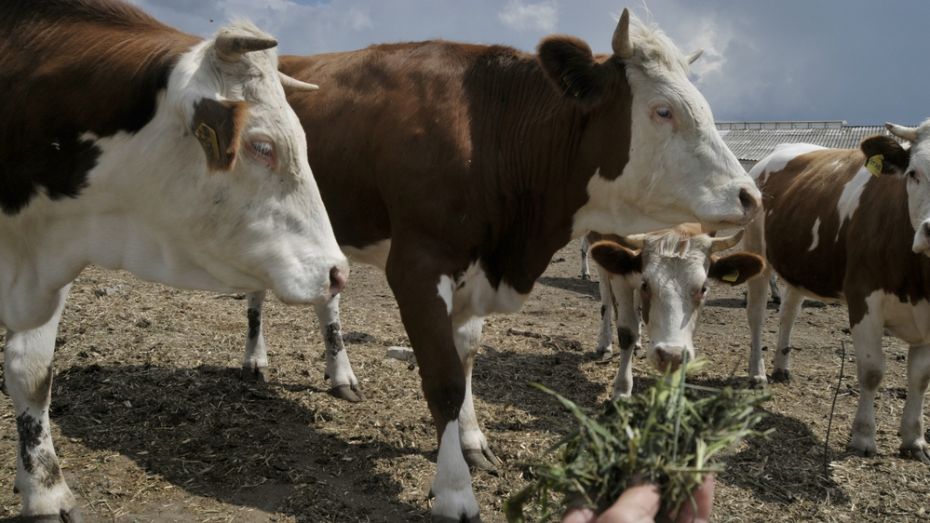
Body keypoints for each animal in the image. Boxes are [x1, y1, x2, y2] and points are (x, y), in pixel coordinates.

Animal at [243, 10, 756, 520]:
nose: (750, 195)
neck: (487, 130)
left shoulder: (475, 274)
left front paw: (472, 441)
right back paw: (254, 359)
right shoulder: (417, 267)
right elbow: (445, 379)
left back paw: (340, 376)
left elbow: (467, 359)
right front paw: (454, 491)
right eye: (664, 110)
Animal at [744, 121, 928, 464]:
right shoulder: (863, 297)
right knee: (757, 315)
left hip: (799, 263)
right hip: (757, 252)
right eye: (914, 173)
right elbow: (872, 370)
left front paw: (915, 440)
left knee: (789, 312)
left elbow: (921, 377)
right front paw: (863, 437)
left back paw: (781, 366)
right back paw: (757, 373)